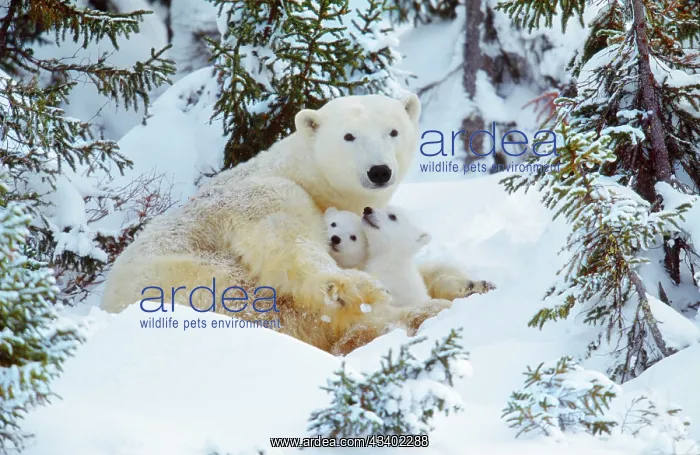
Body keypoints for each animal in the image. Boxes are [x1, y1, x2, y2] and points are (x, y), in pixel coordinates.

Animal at [101, 93, 483, 354]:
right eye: (349, 136)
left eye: (393, 131)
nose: (379, 171)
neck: (302, 175)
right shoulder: (266, 194)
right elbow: (287, 244)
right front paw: (355, 287)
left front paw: (468, 281)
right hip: (194, 280)